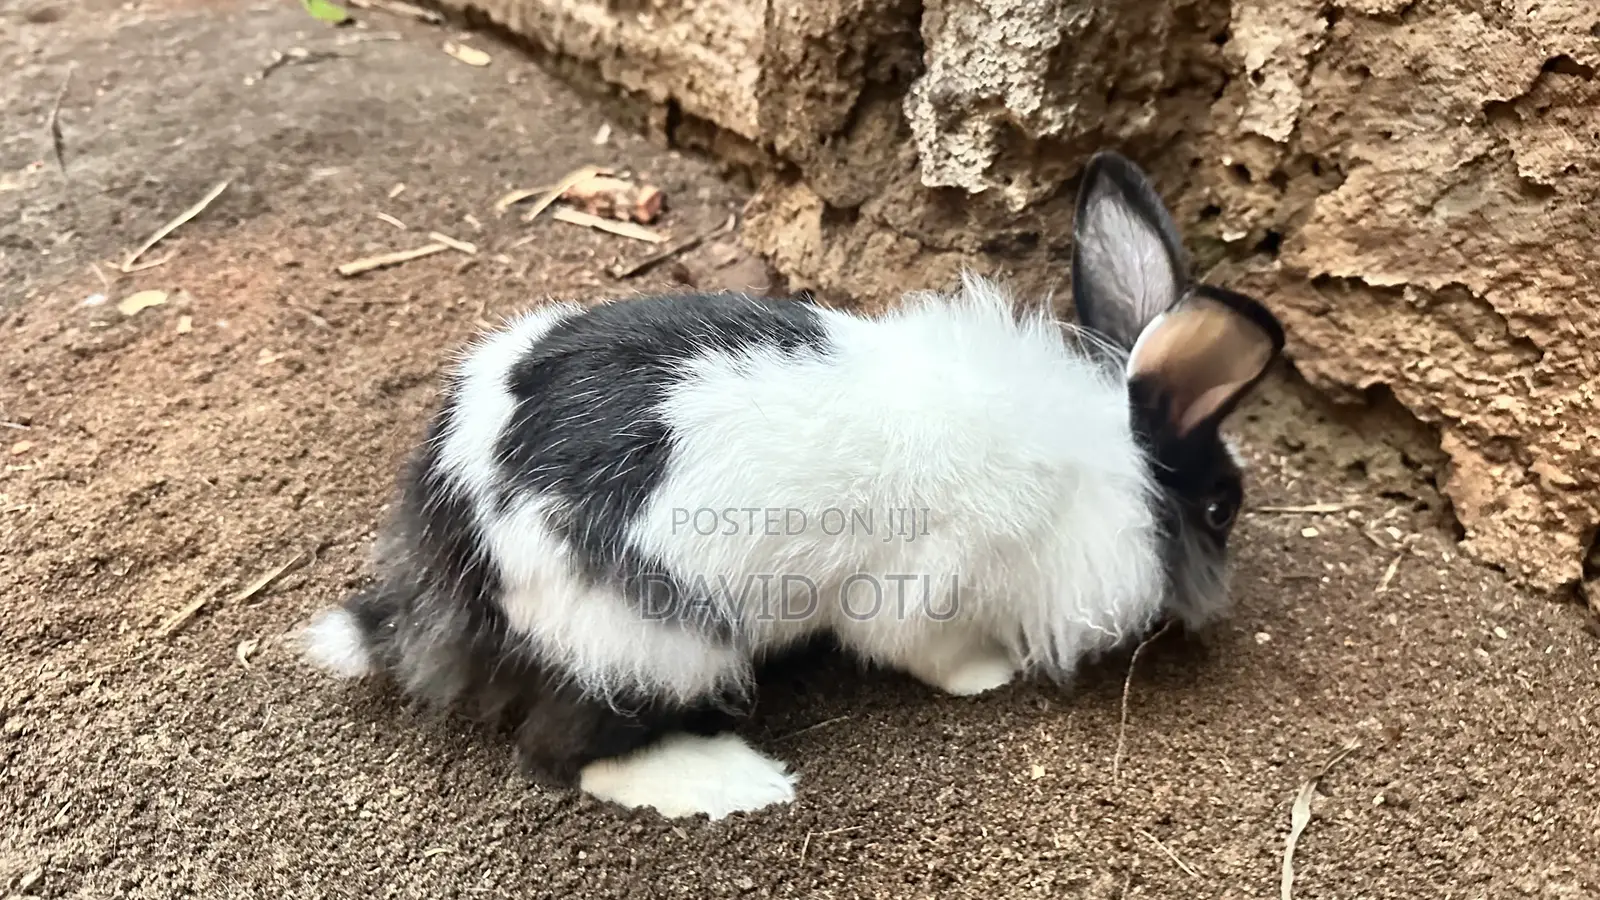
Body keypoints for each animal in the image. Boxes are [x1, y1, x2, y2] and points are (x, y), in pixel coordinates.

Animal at [300, 150, 1286, 821]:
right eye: (1217, 508)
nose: (1219, 606)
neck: (1097, 466)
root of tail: (457, 525)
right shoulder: (925, 591)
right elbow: (930, 653)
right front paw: (991, 676)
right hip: (655, 646)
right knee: (562, 753)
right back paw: (733, 782)